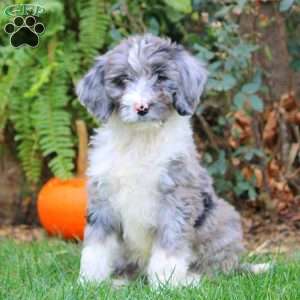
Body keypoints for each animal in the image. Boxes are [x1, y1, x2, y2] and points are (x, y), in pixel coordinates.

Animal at [76, 34, 245, 288]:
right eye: (123, 79)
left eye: (161, 76)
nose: (142, 107)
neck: (141, 138)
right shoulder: (102, 197)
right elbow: (97, 244)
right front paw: (90, 281)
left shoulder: (176, 196)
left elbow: (170, 243)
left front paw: (166, 283)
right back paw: (121, 281)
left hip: (223, 222)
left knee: (219, 269)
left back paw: (191, 279)